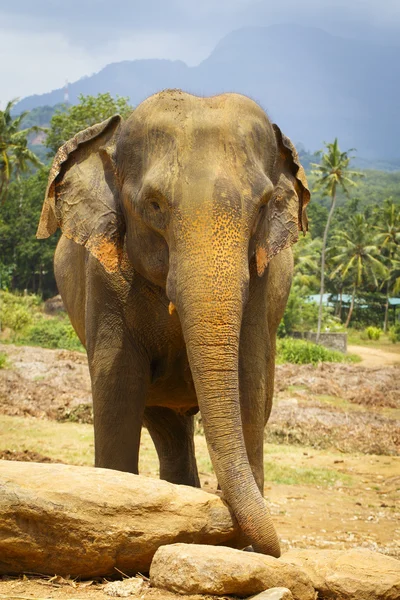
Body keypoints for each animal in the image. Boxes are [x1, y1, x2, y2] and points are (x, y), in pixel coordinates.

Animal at [36, 89, 310, 556]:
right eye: (154, 205)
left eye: (263, 205)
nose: (268, 545)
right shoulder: (103, 274)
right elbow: (116, 387)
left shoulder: (262, 284)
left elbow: (250, 386)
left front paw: (247, 549)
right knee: (163, 422)